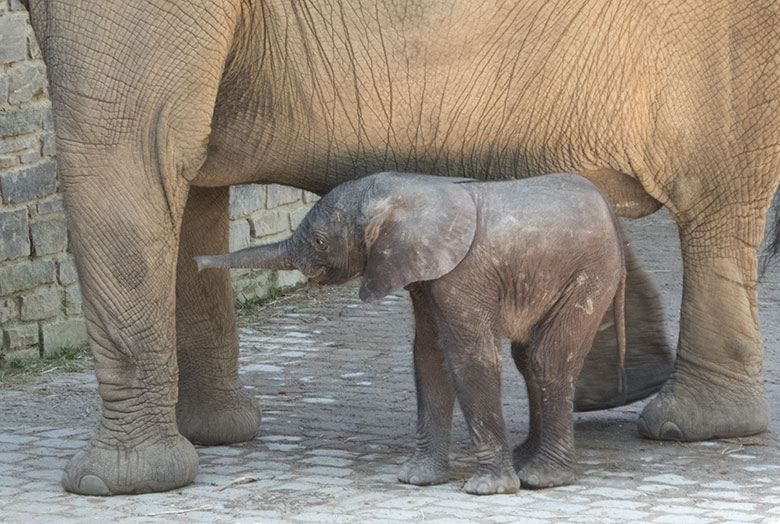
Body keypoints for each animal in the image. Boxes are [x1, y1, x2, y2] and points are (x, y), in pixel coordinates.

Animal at [197, 173, 628, 496]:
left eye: (319, 241)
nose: (197, 262)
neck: (413, 190)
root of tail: (609, 209)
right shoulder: (423, 270)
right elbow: (429, 356)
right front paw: (417, 479)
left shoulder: (463, 273)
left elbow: (469, 355)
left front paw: (487, 489)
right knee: (528, 360)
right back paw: (526, 463)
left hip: (590, 274)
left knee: (546, 360)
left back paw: (543, 478)